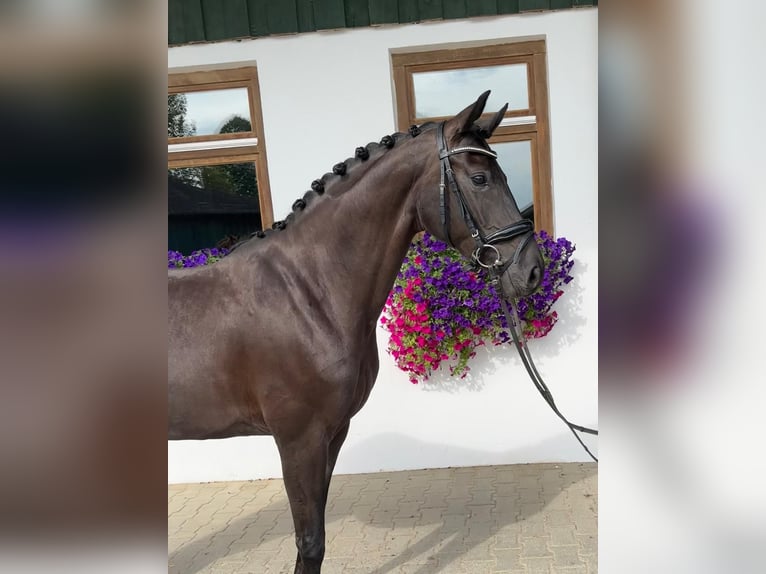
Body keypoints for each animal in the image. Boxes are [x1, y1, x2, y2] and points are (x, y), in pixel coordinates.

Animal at [168, 91, 544, 574]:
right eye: (480, 178)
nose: (531, 270)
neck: (308, 291)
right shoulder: (299, 440)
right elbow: (311, 542)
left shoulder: (333, 434)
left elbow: (311, 542)